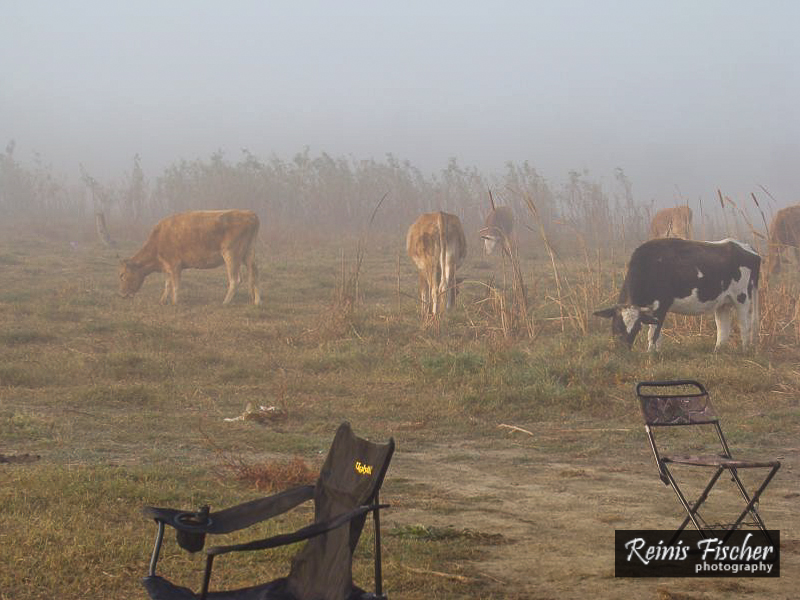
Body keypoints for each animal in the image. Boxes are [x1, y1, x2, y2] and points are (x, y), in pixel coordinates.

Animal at [119, 210, 261, 305]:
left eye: (123, 275)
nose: (122, 294)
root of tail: (249, 214)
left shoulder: (175, 265)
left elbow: (175, 285)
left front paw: (175, 302)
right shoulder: (168, 267)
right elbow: (167, 284)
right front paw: (162, 300)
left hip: (231, 254)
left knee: (235, 279)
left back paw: (225, 302)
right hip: (248, 253)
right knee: (254, 273)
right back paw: (256, 301)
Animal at [593, 238, 760, 352]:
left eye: (636, 328)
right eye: (616, 325)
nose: (622, 350)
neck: (650, 265)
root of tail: (746, 247)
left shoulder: (662, 305)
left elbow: (653, 333)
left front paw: (650, 354)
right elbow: (657, 332)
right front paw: (657, 352)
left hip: (743, 298)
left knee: (744, 324)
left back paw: (744, 350)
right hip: (723, 302)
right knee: (723, 327)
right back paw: (717, 351)